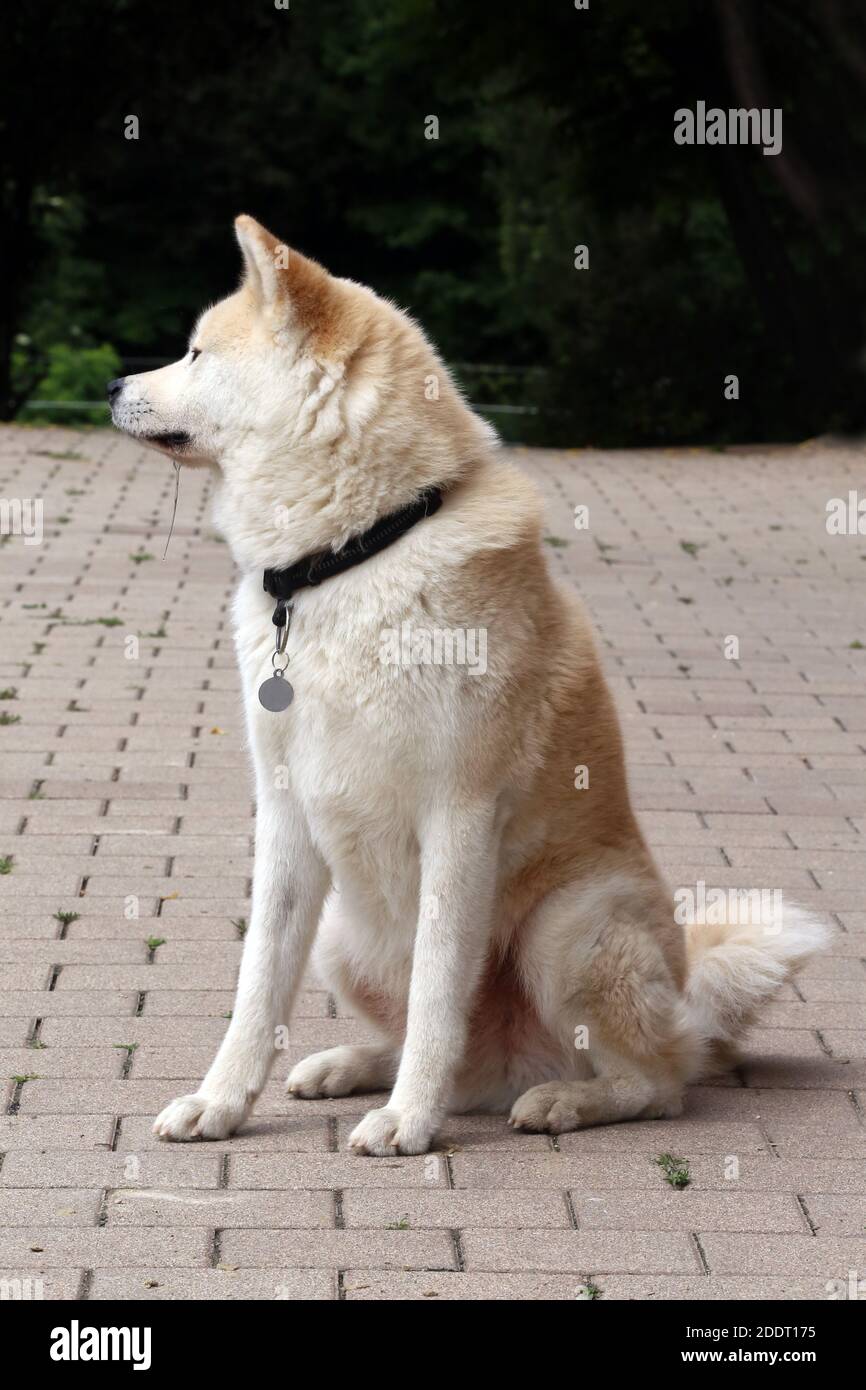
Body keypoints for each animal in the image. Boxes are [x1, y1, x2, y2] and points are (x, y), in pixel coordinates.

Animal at [108, 214, 828, 1150]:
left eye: (196, 354)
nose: (114, 383)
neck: (355, 553)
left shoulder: (459, 817)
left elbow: (437, 989)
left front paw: (409, 1121)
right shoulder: (287, 817)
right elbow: (258, 988)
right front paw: (220, 1103)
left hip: (568, 928)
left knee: (654, 1083)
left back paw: (556, 1100)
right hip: (345, 933)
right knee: (454, 1058)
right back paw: (352, 1068)